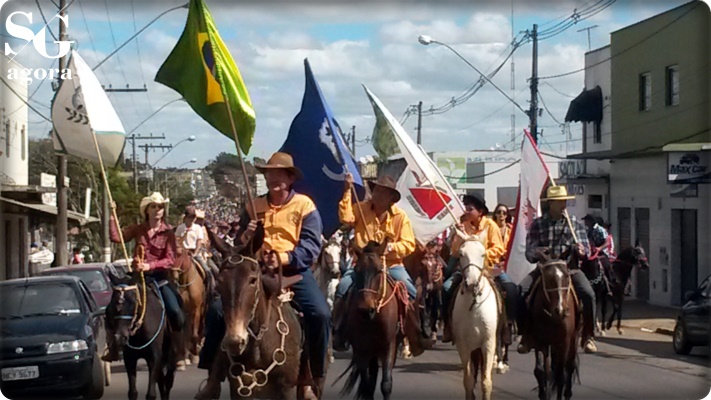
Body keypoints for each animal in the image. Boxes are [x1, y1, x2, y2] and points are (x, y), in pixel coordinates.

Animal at [337, 240, 407, 400]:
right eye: (357, 270)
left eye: (379, 270)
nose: (365, 309)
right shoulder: (360, 347)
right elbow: (366, 385)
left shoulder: (389, 344)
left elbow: (386, 384)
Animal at [451, 237, 498, 400]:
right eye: (461, 253)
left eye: (483, 254)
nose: (471, 283)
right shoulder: (463, 345)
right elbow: (468, 380)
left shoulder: (488, 343)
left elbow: (486, 382)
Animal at [529, 252, 581, 400]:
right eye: (547, 278)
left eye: (567, 276)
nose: (560, 310)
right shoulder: (541, 342)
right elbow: (541, 371)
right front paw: (543, 395)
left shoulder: (564, 342)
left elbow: (560, 375)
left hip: (573, 340)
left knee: (569, 367)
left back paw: (567, 393)